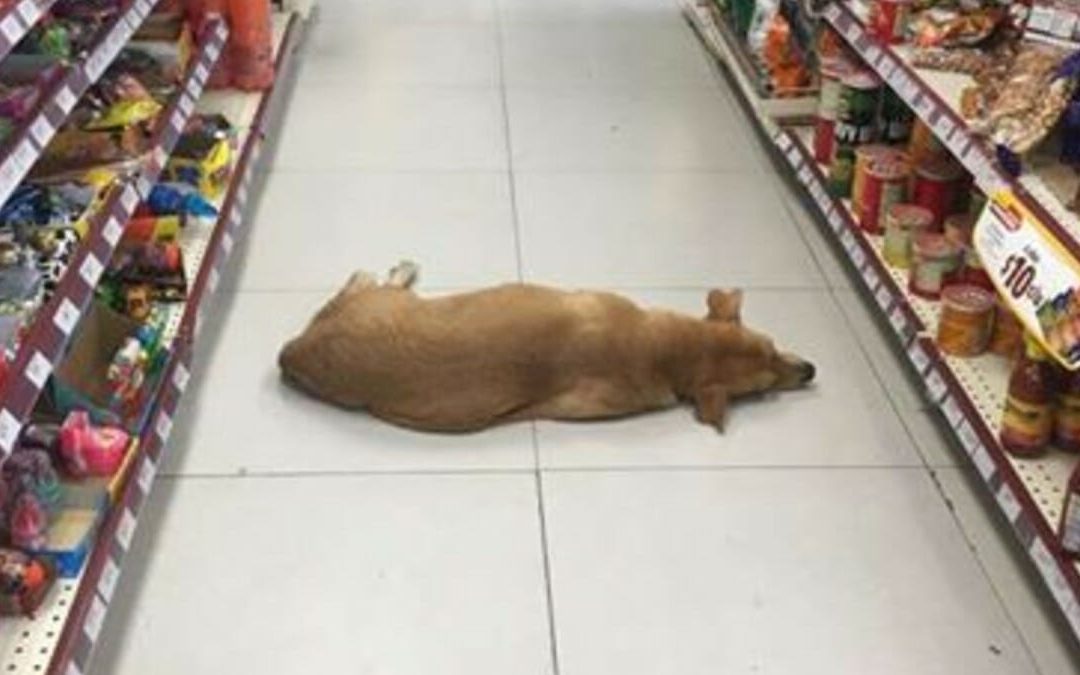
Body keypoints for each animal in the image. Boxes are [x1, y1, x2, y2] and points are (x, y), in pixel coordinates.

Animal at [274, 262, 812, 432]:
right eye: (765, 388)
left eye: (774, 347)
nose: (812, 370)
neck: (664, 348)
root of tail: (294, 351)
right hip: (380, 298)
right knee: (365, 276)